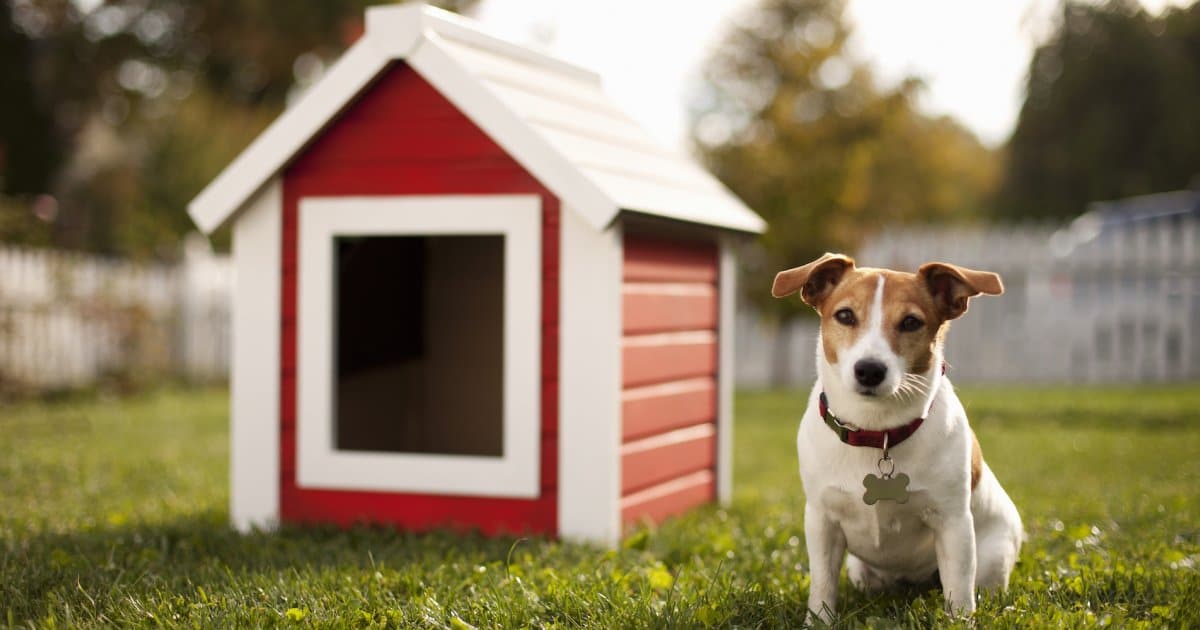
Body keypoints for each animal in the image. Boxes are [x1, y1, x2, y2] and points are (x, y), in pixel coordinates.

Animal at [777, 253, 1022, 614]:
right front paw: (819, 619)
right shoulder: (822, 522)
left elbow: (960, 594)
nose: (870, 370)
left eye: (910, 322)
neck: (877, 431)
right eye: (845, 315)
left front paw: (959, 619)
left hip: (991, 557)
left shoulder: (953, 524)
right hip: (861, 570)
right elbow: (822, 587)